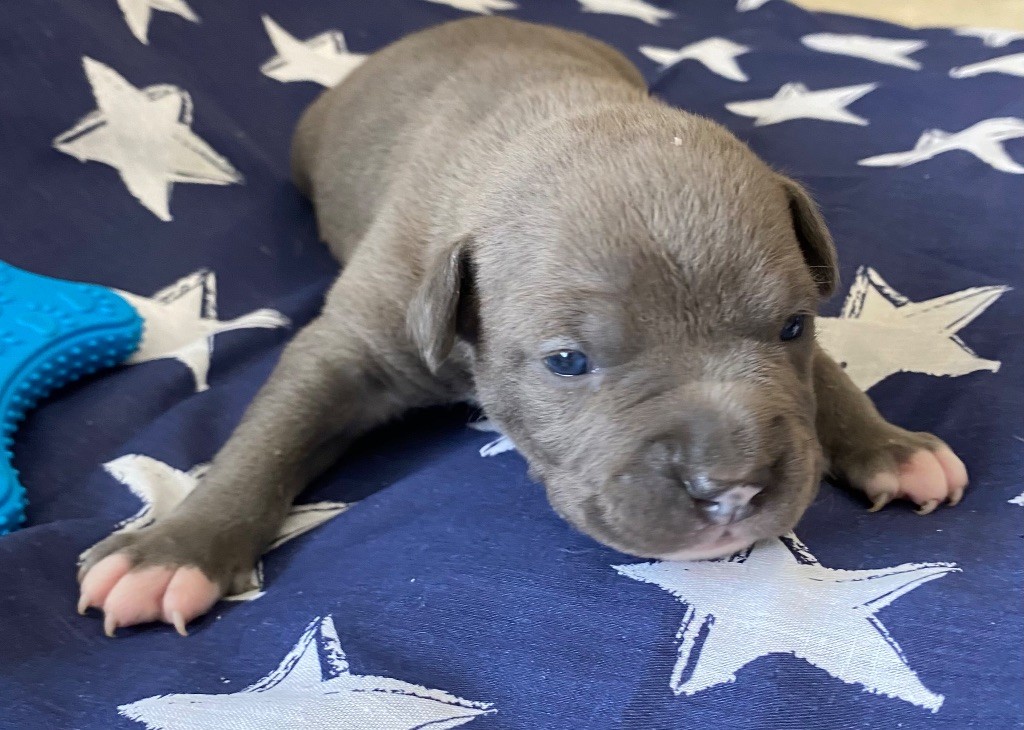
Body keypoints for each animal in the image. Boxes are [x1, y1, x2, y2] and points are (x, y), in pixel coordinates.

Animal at [77, 17, 967, 636]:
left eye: (790, 328)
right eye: (567, 362)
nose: (732, 488)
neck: (548, 116)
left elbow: (831, 383)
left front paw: (893, 447)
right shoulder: (349, 342)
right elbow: (268, 438)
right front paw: (175, 549)